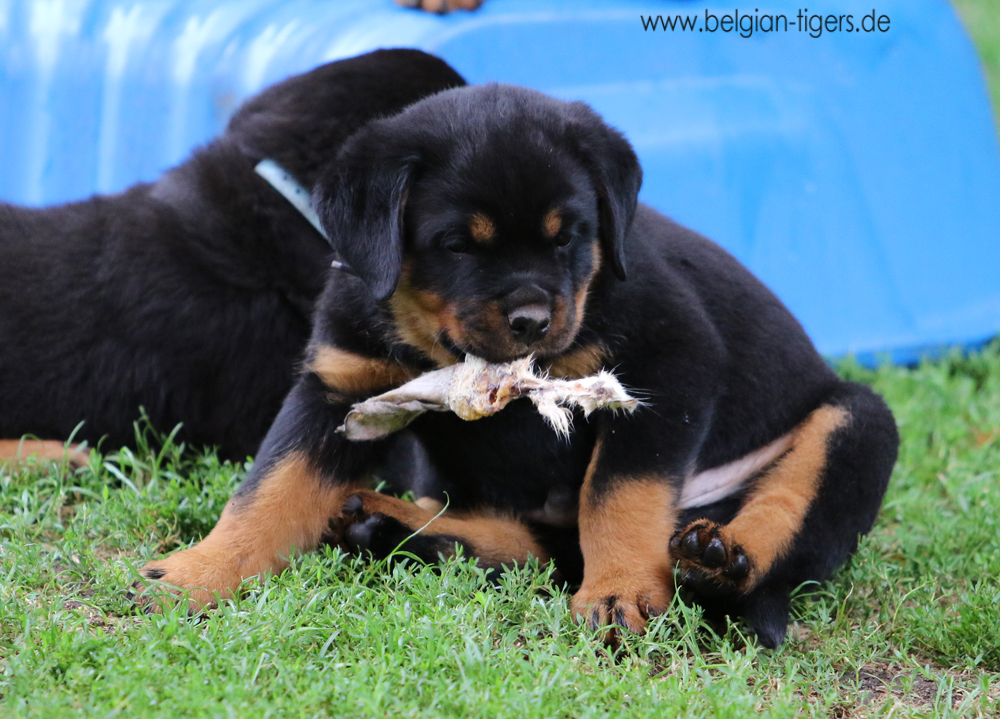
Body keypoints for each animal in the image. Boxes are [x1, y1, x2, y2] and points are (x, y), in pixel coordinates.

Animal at [137, 75, 899, 648]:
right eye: (457, 244)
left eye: (570, 238)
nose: (534, 319)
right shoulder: (337, 389)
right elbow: (267, 492)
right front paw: (195, 574)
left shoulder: (670, 363)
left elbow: (619, 492)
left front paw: (620, 592)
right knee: (530, 543)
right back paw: (386, 521)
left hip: (859, 421)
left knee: (782, 525)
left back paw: (719, 560)